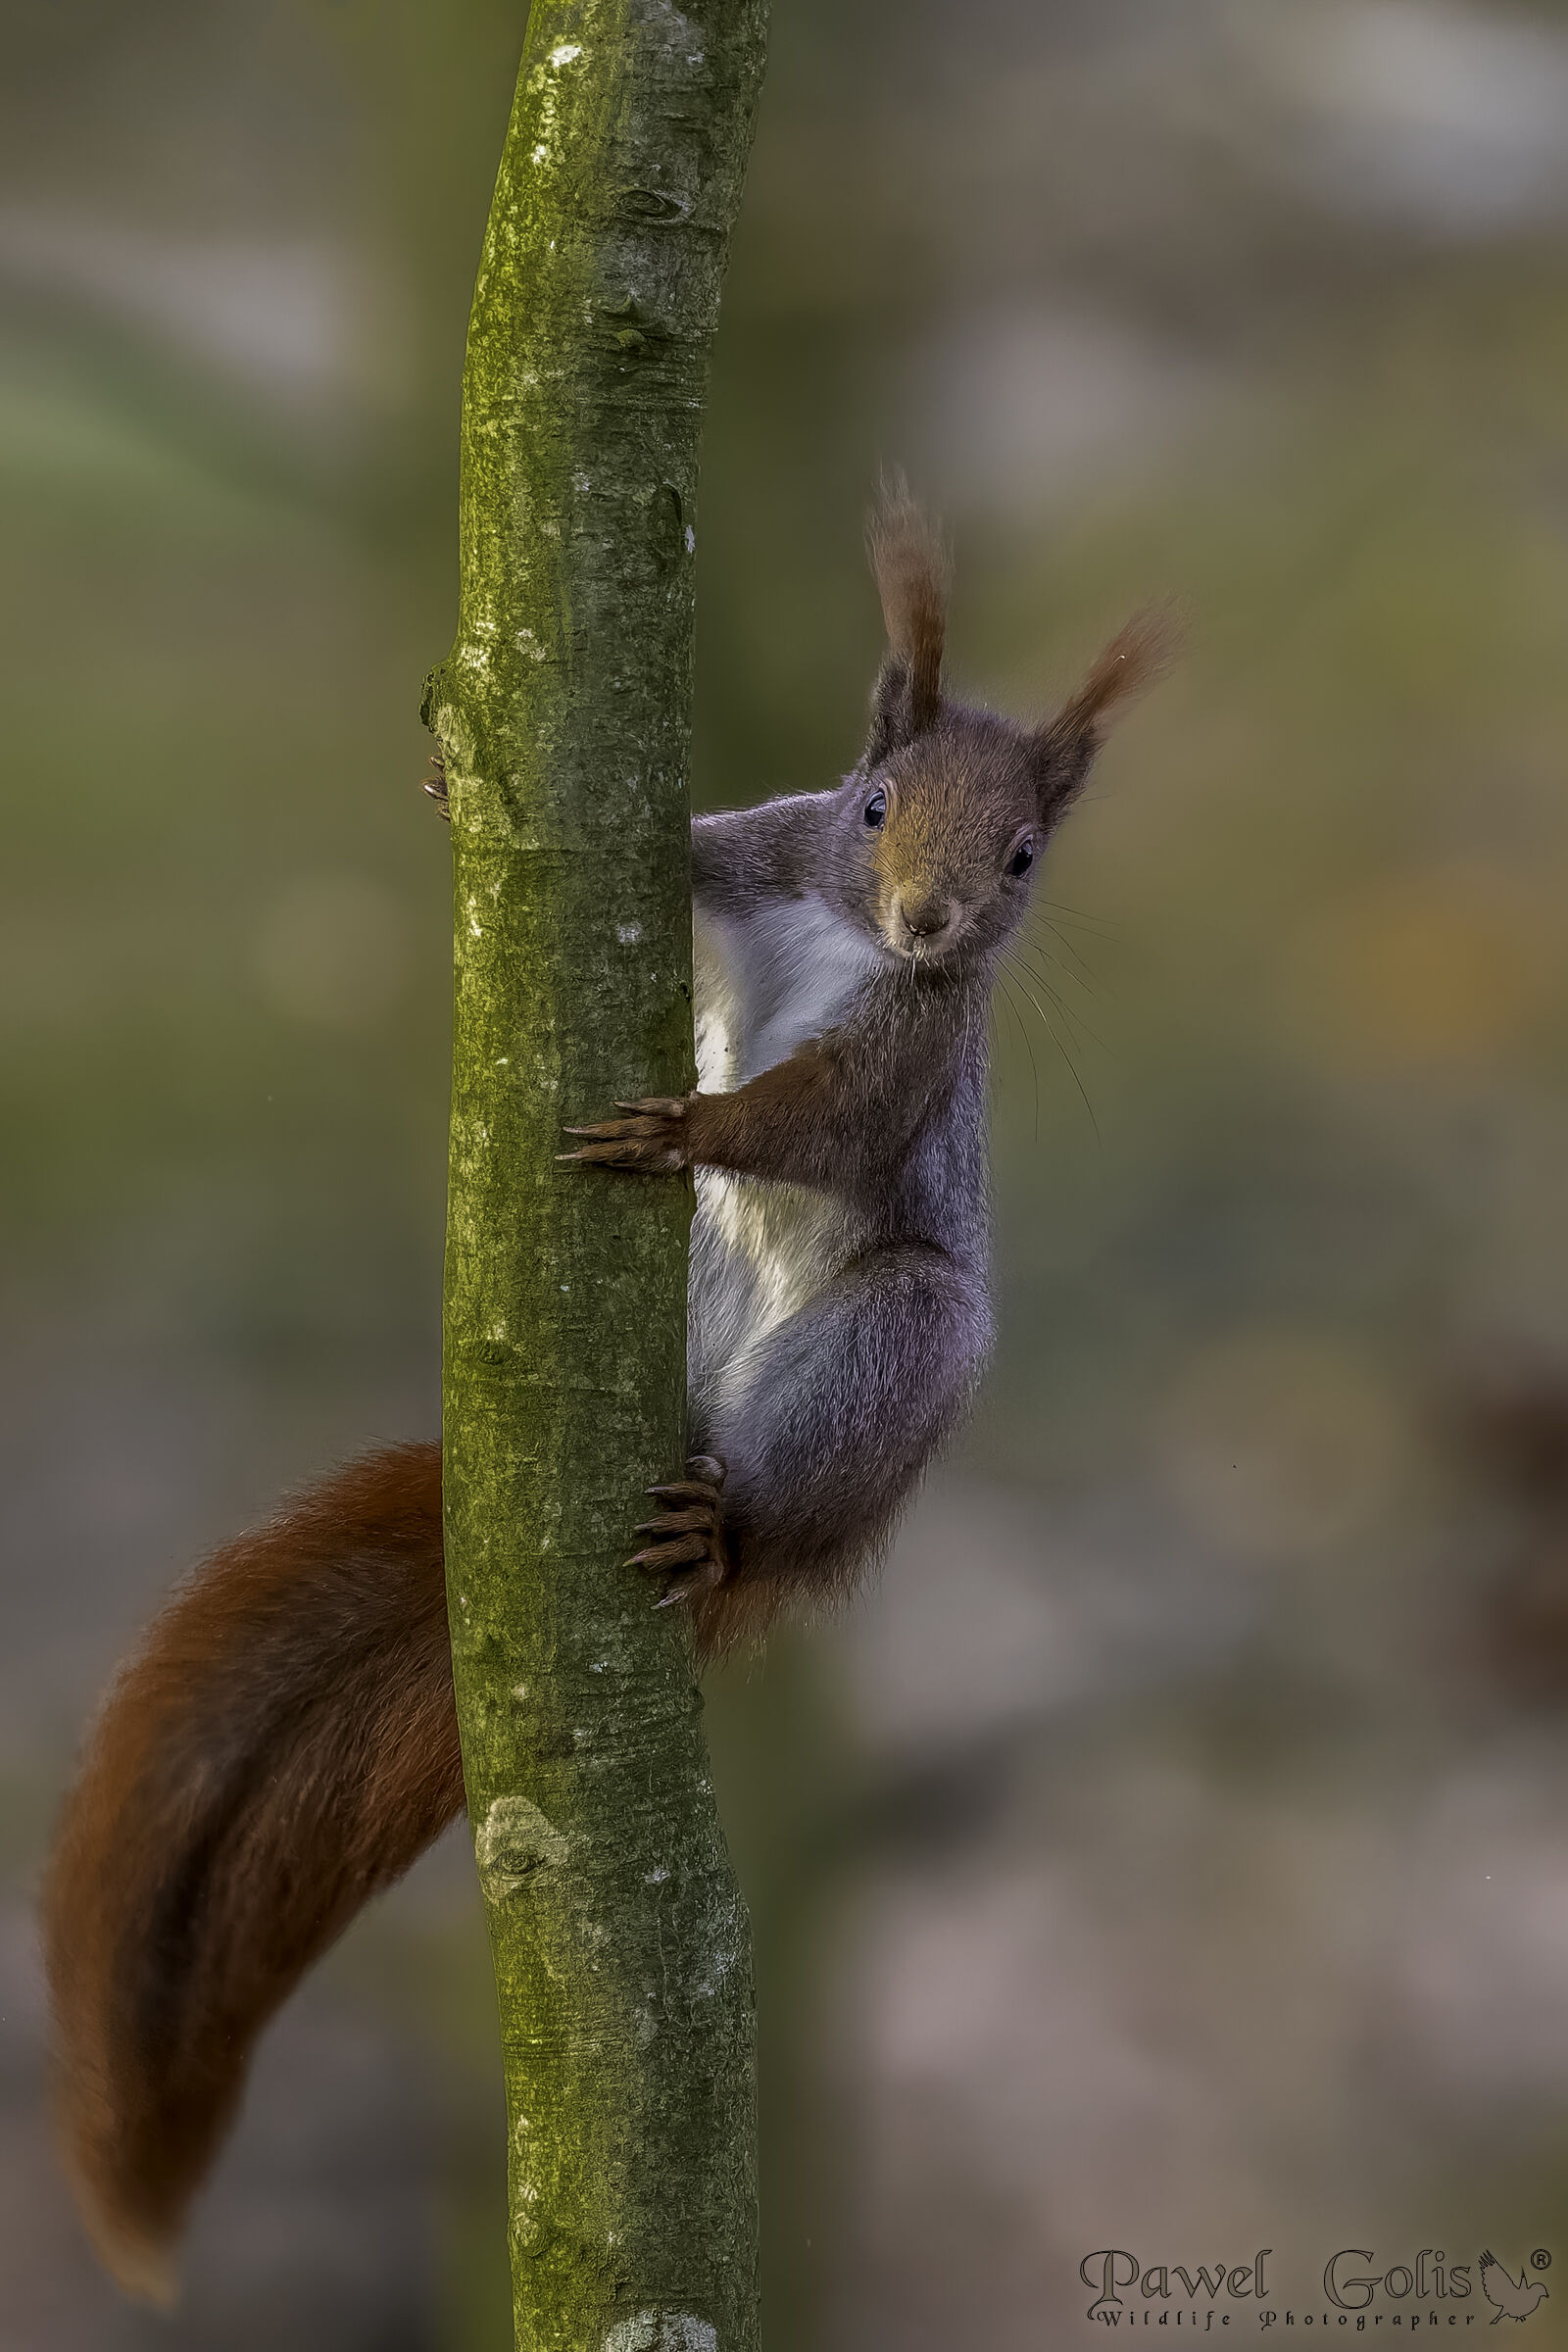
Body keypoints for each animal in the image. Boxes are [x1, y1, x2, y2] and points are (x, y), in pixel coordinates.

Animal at [39, 487, 1165, 2300]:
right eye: (871, 805)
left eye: (1022, 860)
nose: (929, 925)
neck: (843, 929)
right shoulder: (751, 854)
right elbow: (691, 852)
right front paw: (447, 793)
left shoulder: (912, 1051)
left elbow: (817, 1119)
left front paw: (694, 1127)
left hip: (883, 1362)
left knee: (790, 1479)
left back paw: (724, 1533)